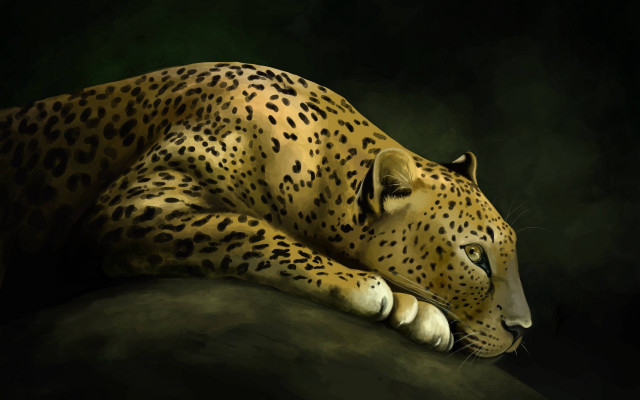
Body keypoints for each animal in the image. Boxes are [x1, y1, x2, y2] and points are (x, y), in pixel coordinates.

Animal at [0, 62, 531, 358]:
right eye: (474, 255)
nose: (522, 330)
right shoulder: (136, 204)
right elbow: (248, 229)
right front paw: (369, 288)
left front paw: (413, 308)